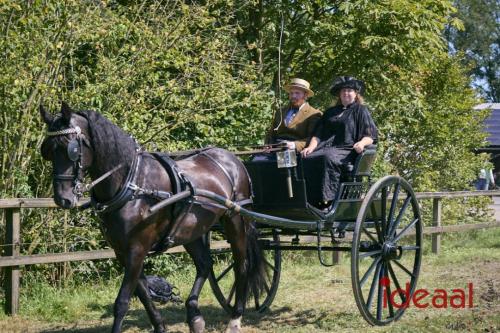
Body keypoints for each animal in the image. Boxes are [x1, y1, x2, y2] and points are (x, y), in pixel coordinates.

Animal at [40, 102, 266, 330]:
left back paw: (235, 318)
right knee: (204, 265)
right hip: (190, 231)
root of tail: (232, 159)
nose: (63, 198)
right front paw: (160, 326)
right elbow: (143, 295)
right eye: (48, 150)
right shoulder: (122, 252)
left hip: (236, 220)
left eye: (72, 149)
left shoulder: (137, 249)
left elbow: (122, 302)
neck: (132, 184)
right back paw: (194, 315)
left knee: (241, 265)